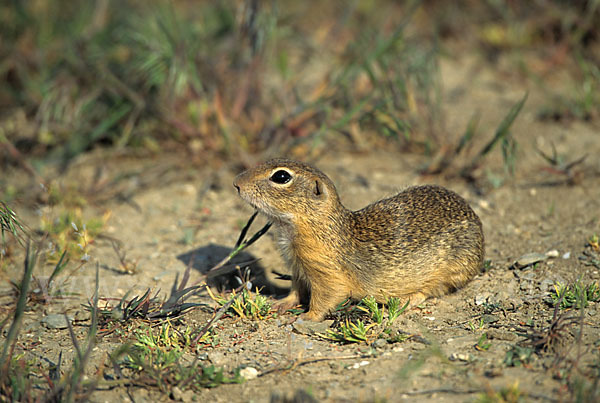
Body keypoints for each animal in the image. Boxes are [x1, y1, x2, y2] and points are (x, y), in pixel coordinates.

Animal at [232, 158, 486, 322]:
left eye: (281, 176)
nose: (236, 183)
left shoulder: (326, 274)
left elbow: (325, 298)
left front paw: (305, 318)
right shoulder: (298, 269)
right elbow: (295, 291)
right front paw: (279, 303)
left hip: (447, 273)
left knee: (426, 293)